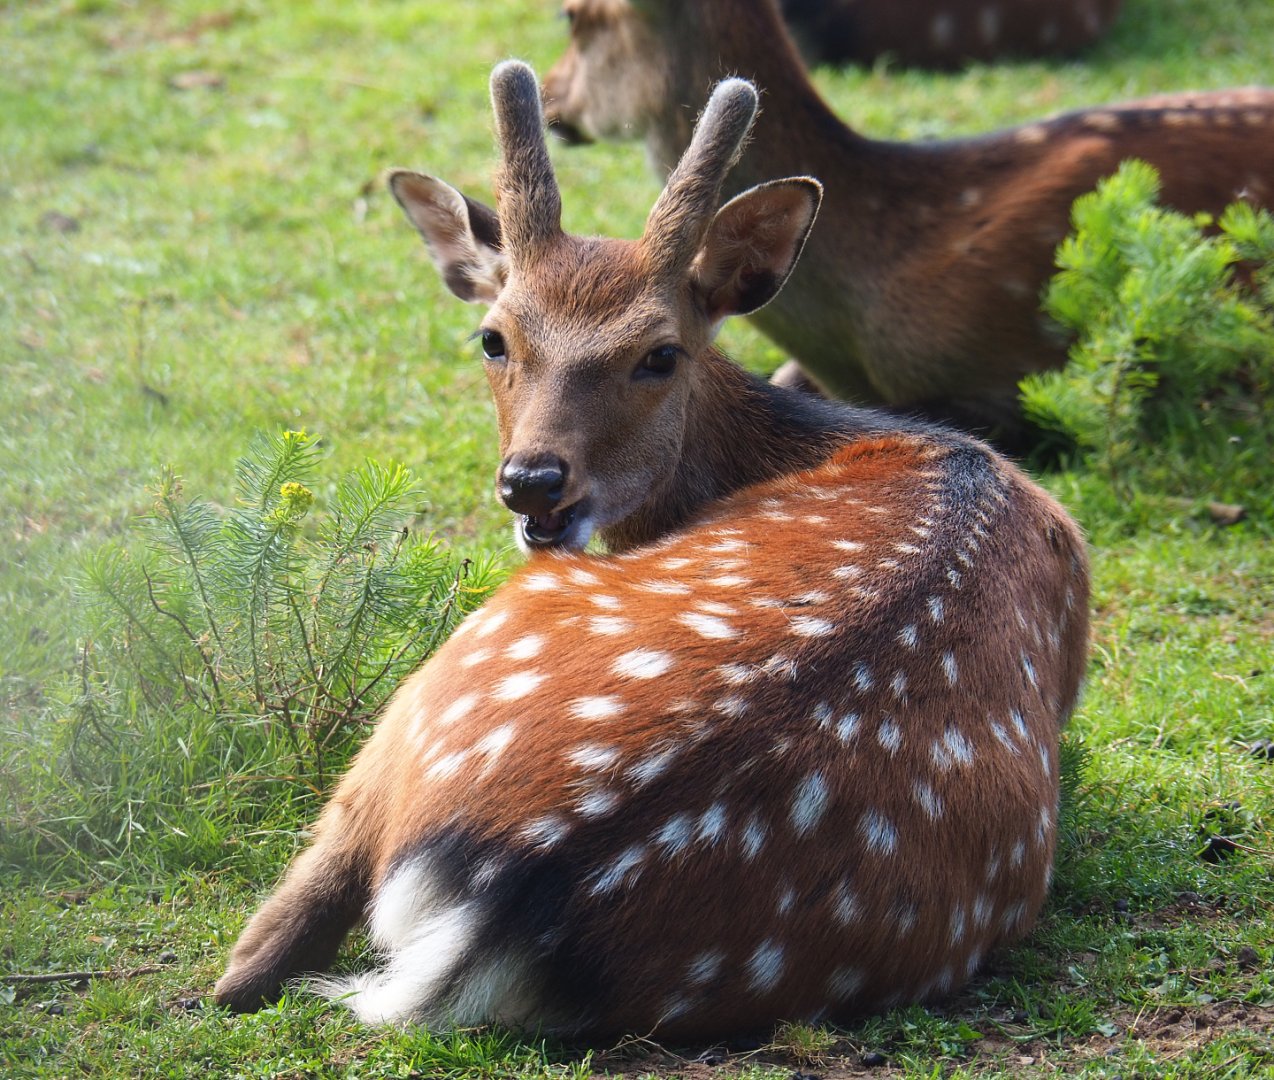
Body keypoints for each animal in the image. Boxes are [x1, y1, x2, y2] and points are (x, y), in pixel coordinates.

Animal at [214, 62, 1090, 1042]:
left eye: (660, 353)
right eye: (494, 337)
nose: (533, 483)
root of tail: (512, 894)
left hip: (440, 677)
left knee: (258, 949)